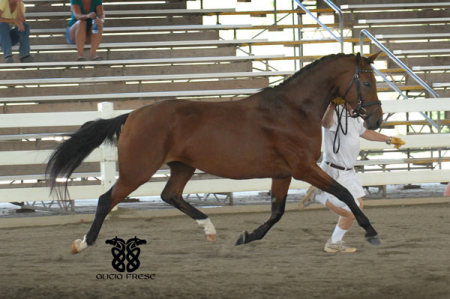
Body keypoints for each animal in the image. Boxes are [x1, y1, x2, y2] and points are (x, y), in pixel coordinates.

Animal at [45, 52, 384, 254]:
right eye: (367, 81)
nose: (376, 120)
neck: (292, 110)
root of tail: (131, 116)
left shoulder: (283, 172)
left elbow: (276, 212)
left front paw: (246, 236)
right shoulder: (303, 167)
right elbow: (344, 193)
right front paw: (371, 231)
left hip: (182, 166)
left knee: (170, 195)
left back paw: (209, 229)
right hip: (137, 171)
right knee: (107, 200)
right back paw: (83, 243)